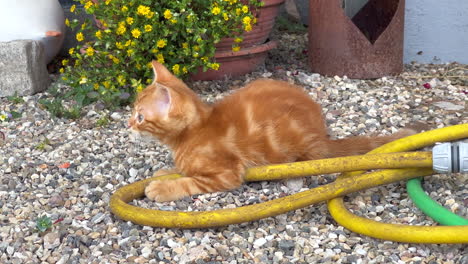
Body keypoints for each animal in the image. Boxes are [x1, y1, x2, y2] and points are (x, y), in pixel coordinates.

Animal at [129, 61, 414, 202]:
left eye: (140, 116)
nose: (129, 124)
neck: (192, 133)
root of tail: (321, 134)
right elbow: (183, 170)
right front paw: (167, 172)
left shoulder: (226, 173)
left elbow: (191, 181)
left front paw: (163, 187)